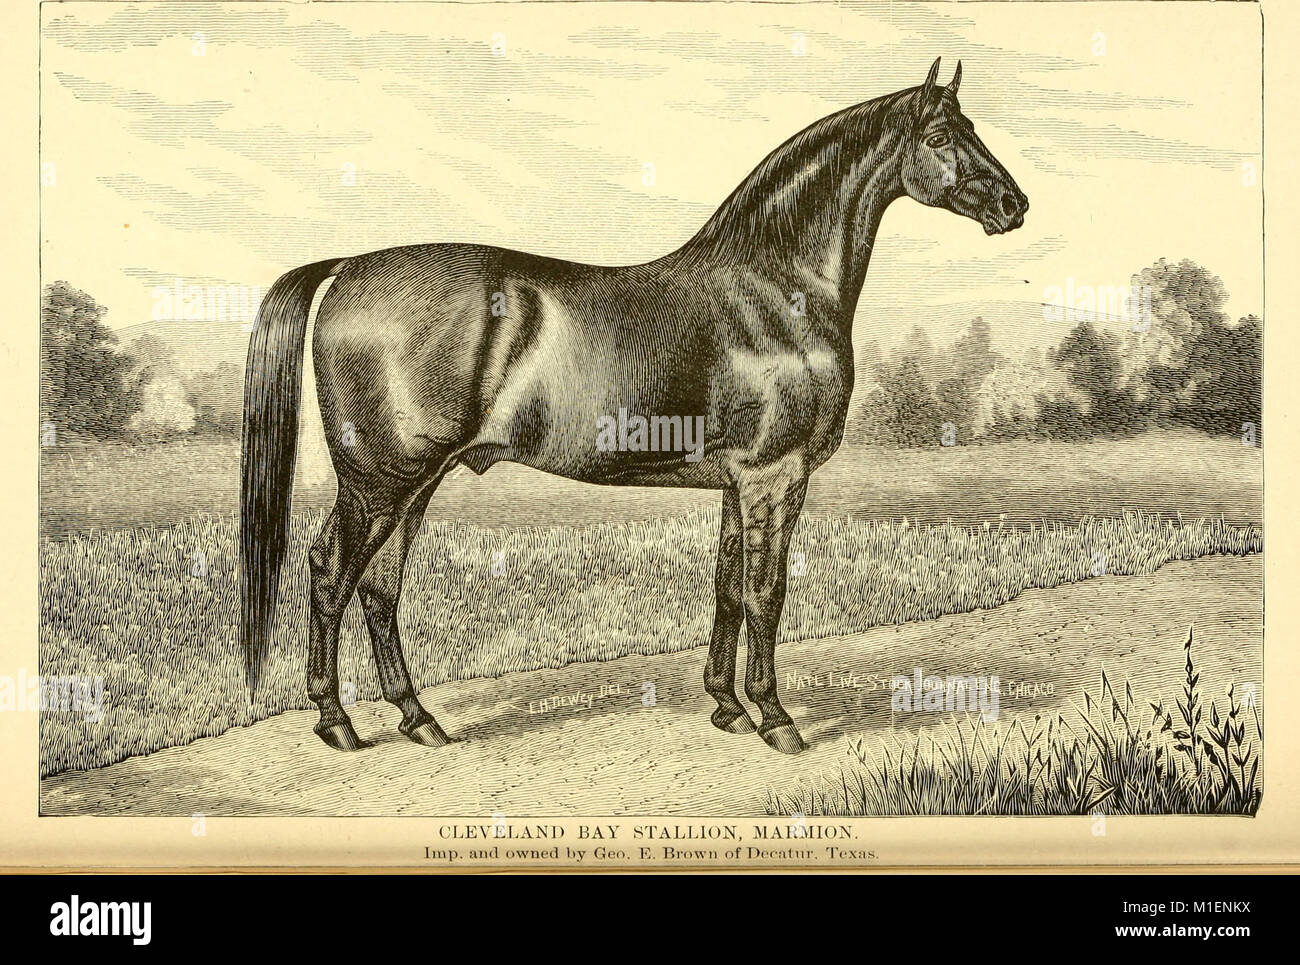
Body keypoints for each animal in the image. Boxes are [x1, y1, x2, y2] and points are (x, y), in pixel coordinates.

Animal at [239, 57, 1027, 756]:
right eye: (939, 137)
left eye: (971, 126)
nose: (1012, 205)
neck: (775, 286)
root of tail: (348, 267)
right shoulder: (775, 475)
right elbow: (766, 592)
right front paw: (775, 718)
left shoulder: (738, 483)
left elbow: (728, 588)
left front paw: (726, 706)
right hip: (380, 481)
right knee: (329, 574)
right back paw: (336, 722)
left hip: (415, 483)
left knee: (379, 588)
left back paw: (418, 717)